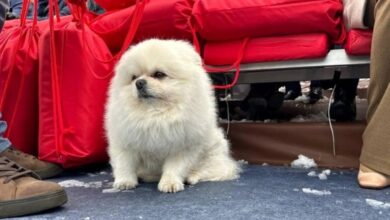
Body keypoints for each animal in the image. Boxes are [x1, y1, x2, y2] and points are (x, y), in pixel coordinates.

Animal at [106, 39, 241, 192]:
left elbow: (175, 168)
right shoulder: (125, 142)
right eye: (134, 77)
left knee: (210, 169)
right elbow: (124, 164)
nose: (139, 83)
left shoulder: (182, 146)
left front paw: (169, 183)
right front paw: (124, 182)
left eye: (159, 74)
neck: (155, 115)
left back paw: (192, 177)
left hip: (213, 150)